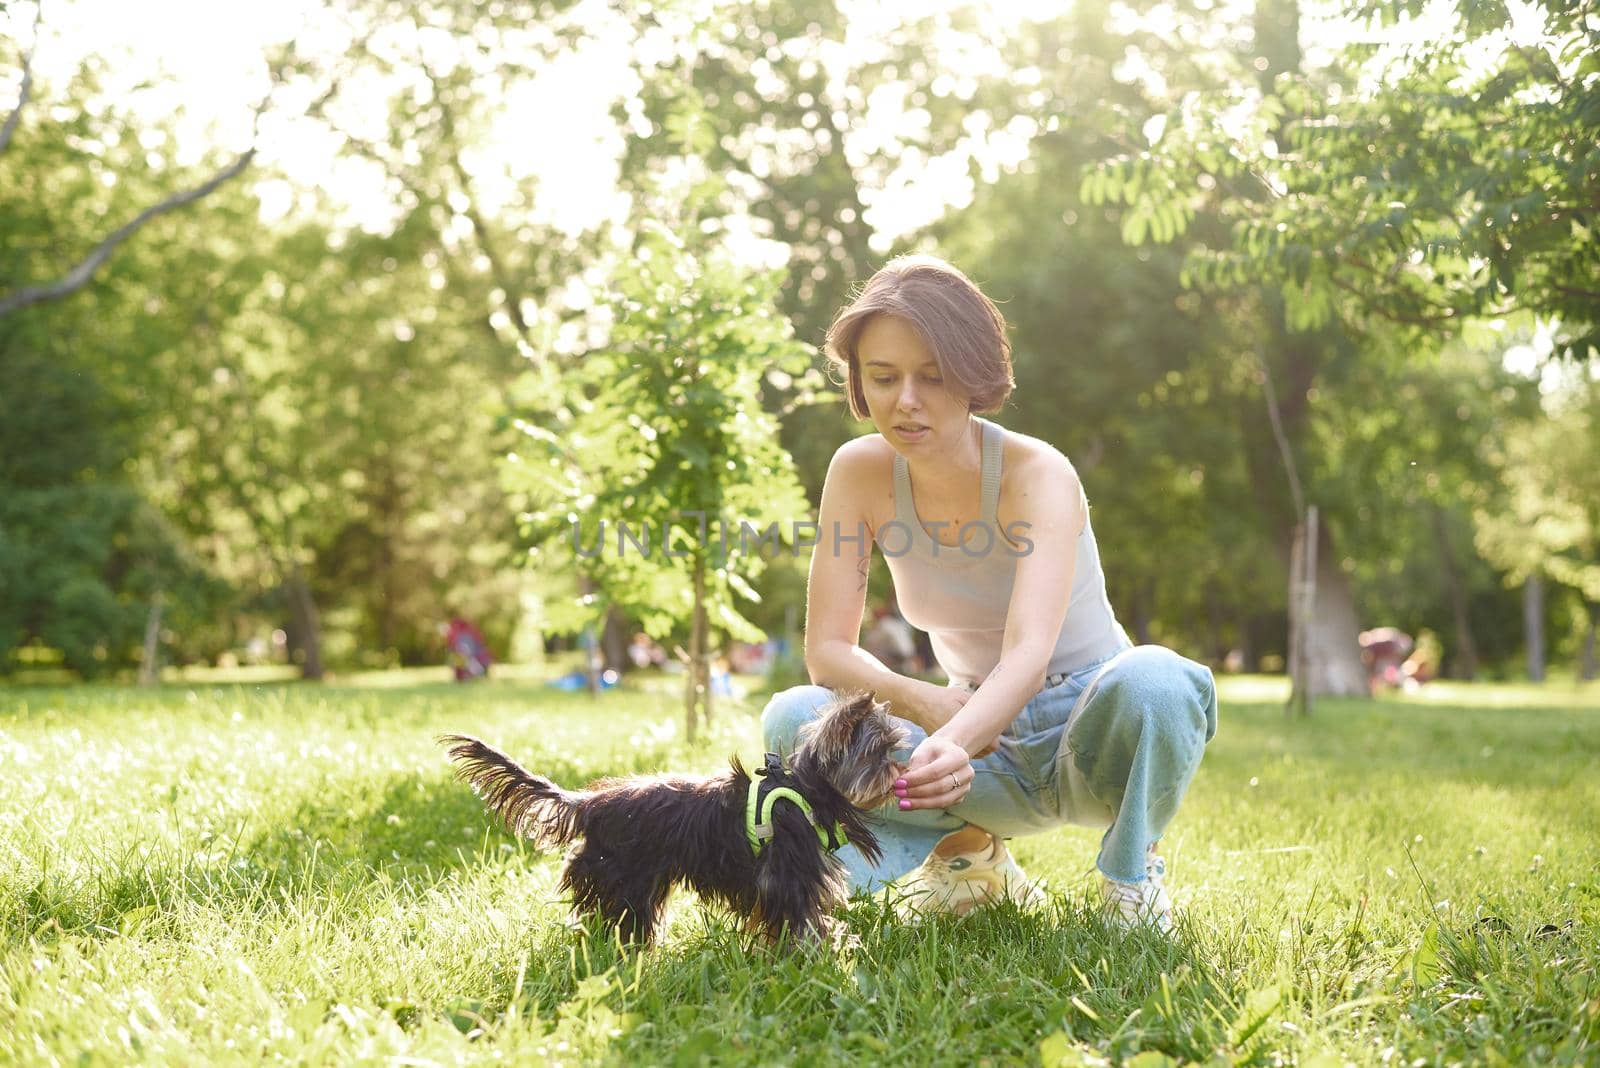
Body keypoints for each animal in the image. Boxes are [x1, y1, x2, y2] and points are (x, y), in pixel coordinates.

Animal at [444, 697, 908, 946]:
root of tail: (589, 804)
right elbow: (805, 920)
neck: (809, 789)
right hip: (623, 878)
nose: (899, 771)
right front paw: (831, 950)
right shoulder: (789, 875)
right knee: (617, 917)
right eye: (880, 750)